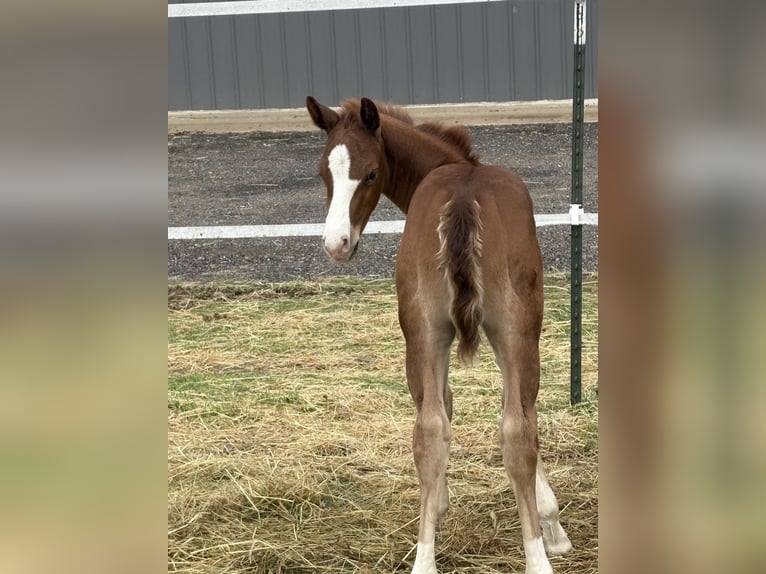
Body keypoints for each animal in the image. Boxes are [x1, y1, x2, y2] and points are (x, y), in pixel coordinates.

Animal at [306, 96, 572, 574]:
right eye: (324, 172)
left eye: (369, 174)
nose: (336, 245)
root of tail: (463, 199)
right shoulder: (505, 338)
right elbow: (511, 412)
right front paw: (550, 525)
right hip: (500, 332)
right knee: (506, 430)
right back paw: (534, 558)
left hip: (435, 333)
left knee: (437, 429)